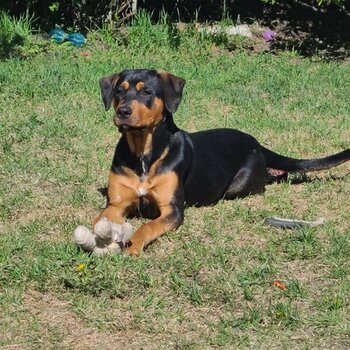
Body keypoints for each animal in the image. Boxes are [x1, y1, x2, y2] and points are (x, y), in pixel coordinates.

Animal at [94, 68, 348, 256]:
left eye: (146, 91)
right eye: (119, 91)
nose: (123, 112)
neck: (144, 154)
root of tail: (254, 141)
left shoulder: (172, 209)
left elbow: (148, 225)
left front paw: (133, 244)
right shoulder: (116, 204)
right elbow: (99, 219)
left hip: (239, 186)